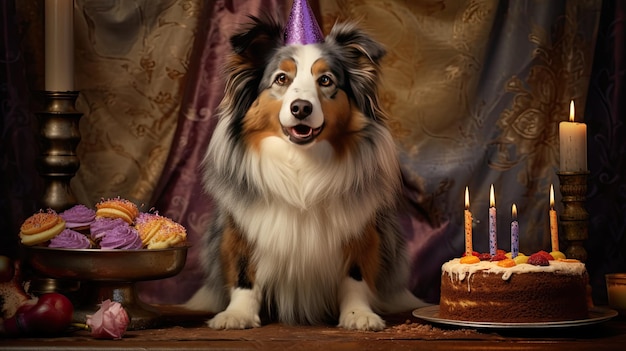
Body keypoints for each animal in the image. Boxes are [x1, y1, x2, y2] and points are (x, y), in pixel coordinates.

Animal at [182, 14, 424, 332]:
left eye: (326, 80)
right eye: (281, 79)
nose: (301, 108)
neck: (300, 162)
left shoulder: (361, 229)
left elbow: (356, 274)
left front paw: (358, 314)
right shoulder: (241, 226)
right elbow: (244, 273)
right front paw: (237, 314)